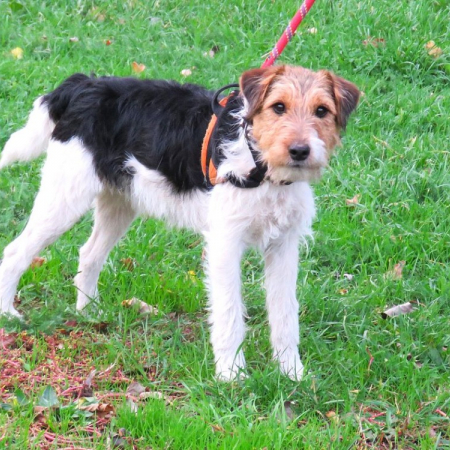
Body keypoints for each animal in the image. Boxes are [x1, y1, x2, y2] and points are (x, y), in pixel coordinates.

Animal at [0, 65, 359, 380]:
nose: (299, 151)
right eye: (278, 106)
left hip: (119, 203)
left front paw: (292, 373)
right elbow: (229, 313)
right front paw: (232, 375)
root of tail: (81, 85)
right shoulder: (225, 244)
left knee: (89, 254)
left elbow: (285, 314)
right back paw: (8, 314)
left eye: (322, 111)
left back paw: (88, 313)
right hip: (64, 199)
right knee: (16, 252)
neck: (260, 165)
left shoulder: (283, 246)